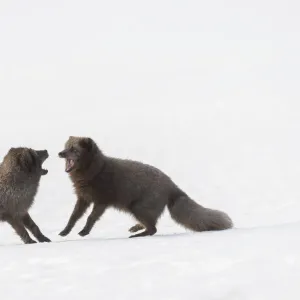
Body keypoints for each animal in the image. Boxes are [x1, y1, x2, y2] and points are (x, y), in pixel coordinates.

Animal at [58, 137, 232, 238]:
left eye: (74, 149)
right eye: (66, 146)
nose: (60, 153)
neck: (96, 170)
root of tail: (172, 185)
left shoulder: (102, 200)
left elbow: (91, 218)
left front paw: (84, 232)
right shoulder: (83, 198)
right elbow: (73, 217)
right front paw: (64, 232)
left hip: (137, 207)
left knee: (153, 229)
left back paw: (137, 235)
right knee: (151, 224)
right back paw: (135, 229)